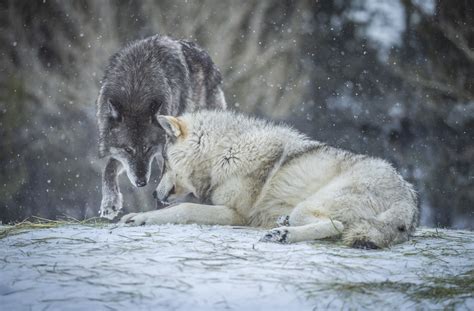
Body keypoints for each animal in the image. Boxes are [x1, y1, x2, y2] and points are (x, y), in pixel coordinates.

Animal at [96, 36, 226, 219]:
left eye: (147, 148)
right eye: (128, 149)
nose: (141, 183)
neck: (135, 89)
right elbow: (108, 169)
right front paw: (109, 203)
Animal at [121, 111, 418, 250]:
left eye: (163, 162)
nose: (153, 194)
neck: (224, 152)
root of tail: (410, 199)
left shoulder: (236, 214)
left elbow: (183, 208)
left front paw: (139, 217)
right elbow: (178, 207)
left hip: (309, 205)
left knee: (336, 226)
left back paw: (282, 235)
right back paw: (281, 226)